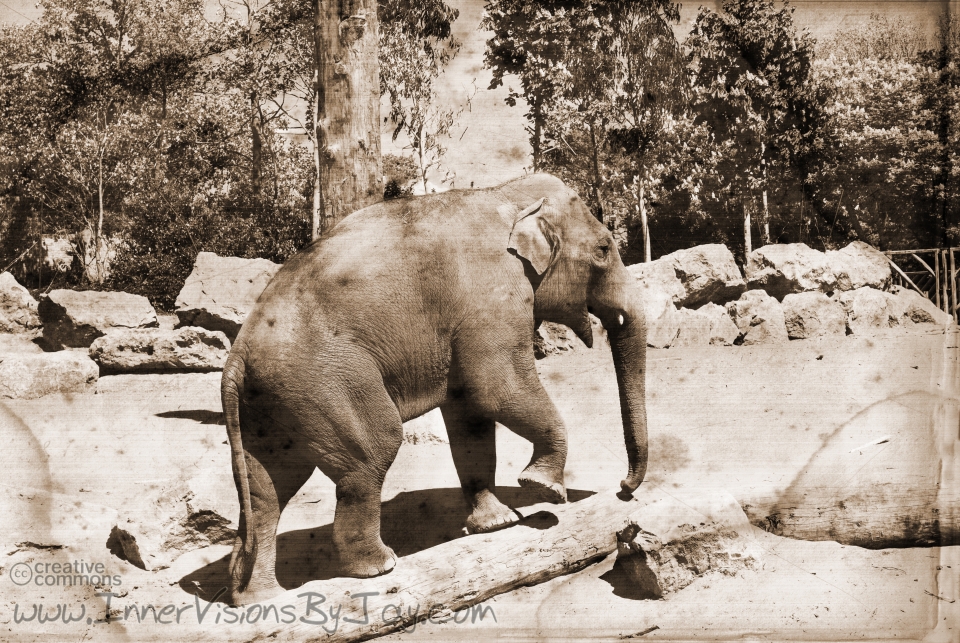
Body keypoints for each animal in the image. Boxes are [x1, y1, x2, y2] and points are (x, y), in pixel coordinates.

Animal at [221, 171, 648, 604]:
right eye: (603, 249)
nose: (623, 489)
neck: (506, 194)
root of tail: (238, 354)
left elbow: (471, 418)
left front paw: (498, 523)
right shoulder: (492, 295)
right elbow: (496, 388)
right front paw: (544, 488)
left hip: (272, 402)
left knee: (267, 489)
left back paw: (260, 597)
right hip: (325, 379)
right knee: (372, 451)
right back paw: (380, 566)